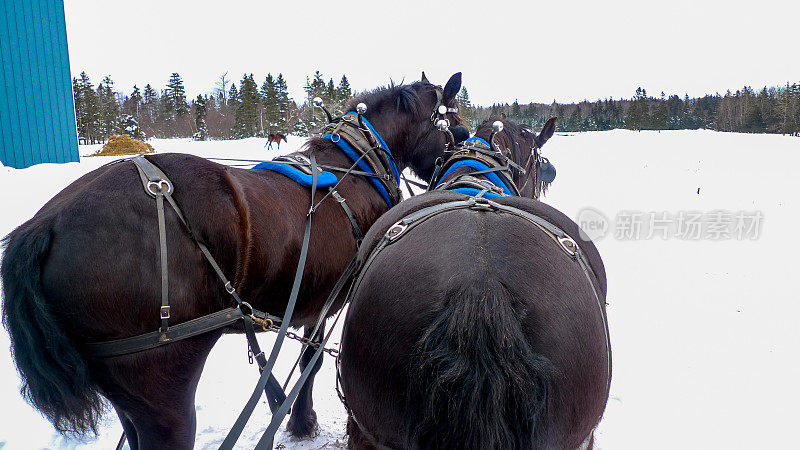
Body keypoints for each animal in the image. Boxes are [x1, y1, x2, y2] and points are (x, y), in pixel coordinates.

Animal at [0, 72, 466, 448]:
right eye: (457, 126)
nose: (455, 166)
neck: (355, 162)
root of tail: (47, 224)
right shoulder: (327, 301)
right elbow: (311, 363)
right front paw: (302, 421)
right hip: (162, 381)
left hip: (125, 393)